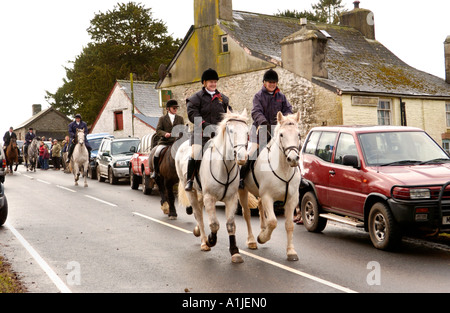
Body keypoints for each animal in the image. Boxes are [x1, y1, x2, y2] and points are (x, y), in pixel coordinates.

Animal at [178, 108, 250, 262]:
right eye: (230, 131)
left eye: (247, 132)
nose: (242, 157)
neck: (225, 167)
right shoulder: (209, 198)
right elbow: (214, 224)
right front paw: (211, 240)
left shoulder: (231, 199)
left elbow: (230, 225)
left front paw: (235, 251)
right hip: (190, 191)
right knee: (198, 214)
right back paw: (204, 242)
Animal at [239, 111, 302, 260]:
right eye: (281, 135)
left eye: (298, 134)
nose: (293, 159)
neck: (284, 169)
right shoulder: (268, 197)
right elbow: (273, 221)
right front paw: (262, 238)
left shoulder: (292, 199)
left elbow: (289, 225)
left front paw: (291, 251)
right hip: (242, 191)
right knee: (247, 214)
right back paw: (252, 241)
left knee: (260, 206)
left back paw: (262, 228)